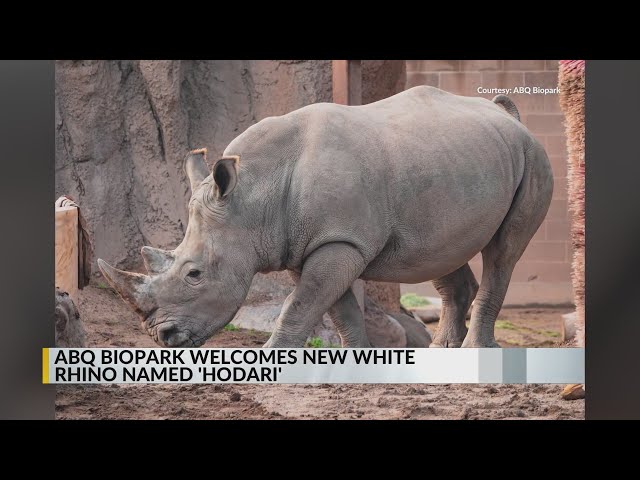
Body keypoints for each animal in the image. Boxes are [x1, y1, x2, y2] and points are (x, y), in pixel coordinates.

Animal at [98, 86, 553, 349]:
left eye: (194, 274)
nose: (162, 337)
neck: (253, 195)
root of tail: (507, 114)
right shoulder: (310, 243)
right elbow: (336, 308)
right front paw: (359, 361)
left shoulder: (339, 241)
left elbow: (300, 305)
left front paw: (274, 360)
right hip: (454, 164)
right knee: (441, 253)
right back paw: (443, 353)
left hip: (532, 157)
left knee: (504, 252)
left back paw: (476, 351)